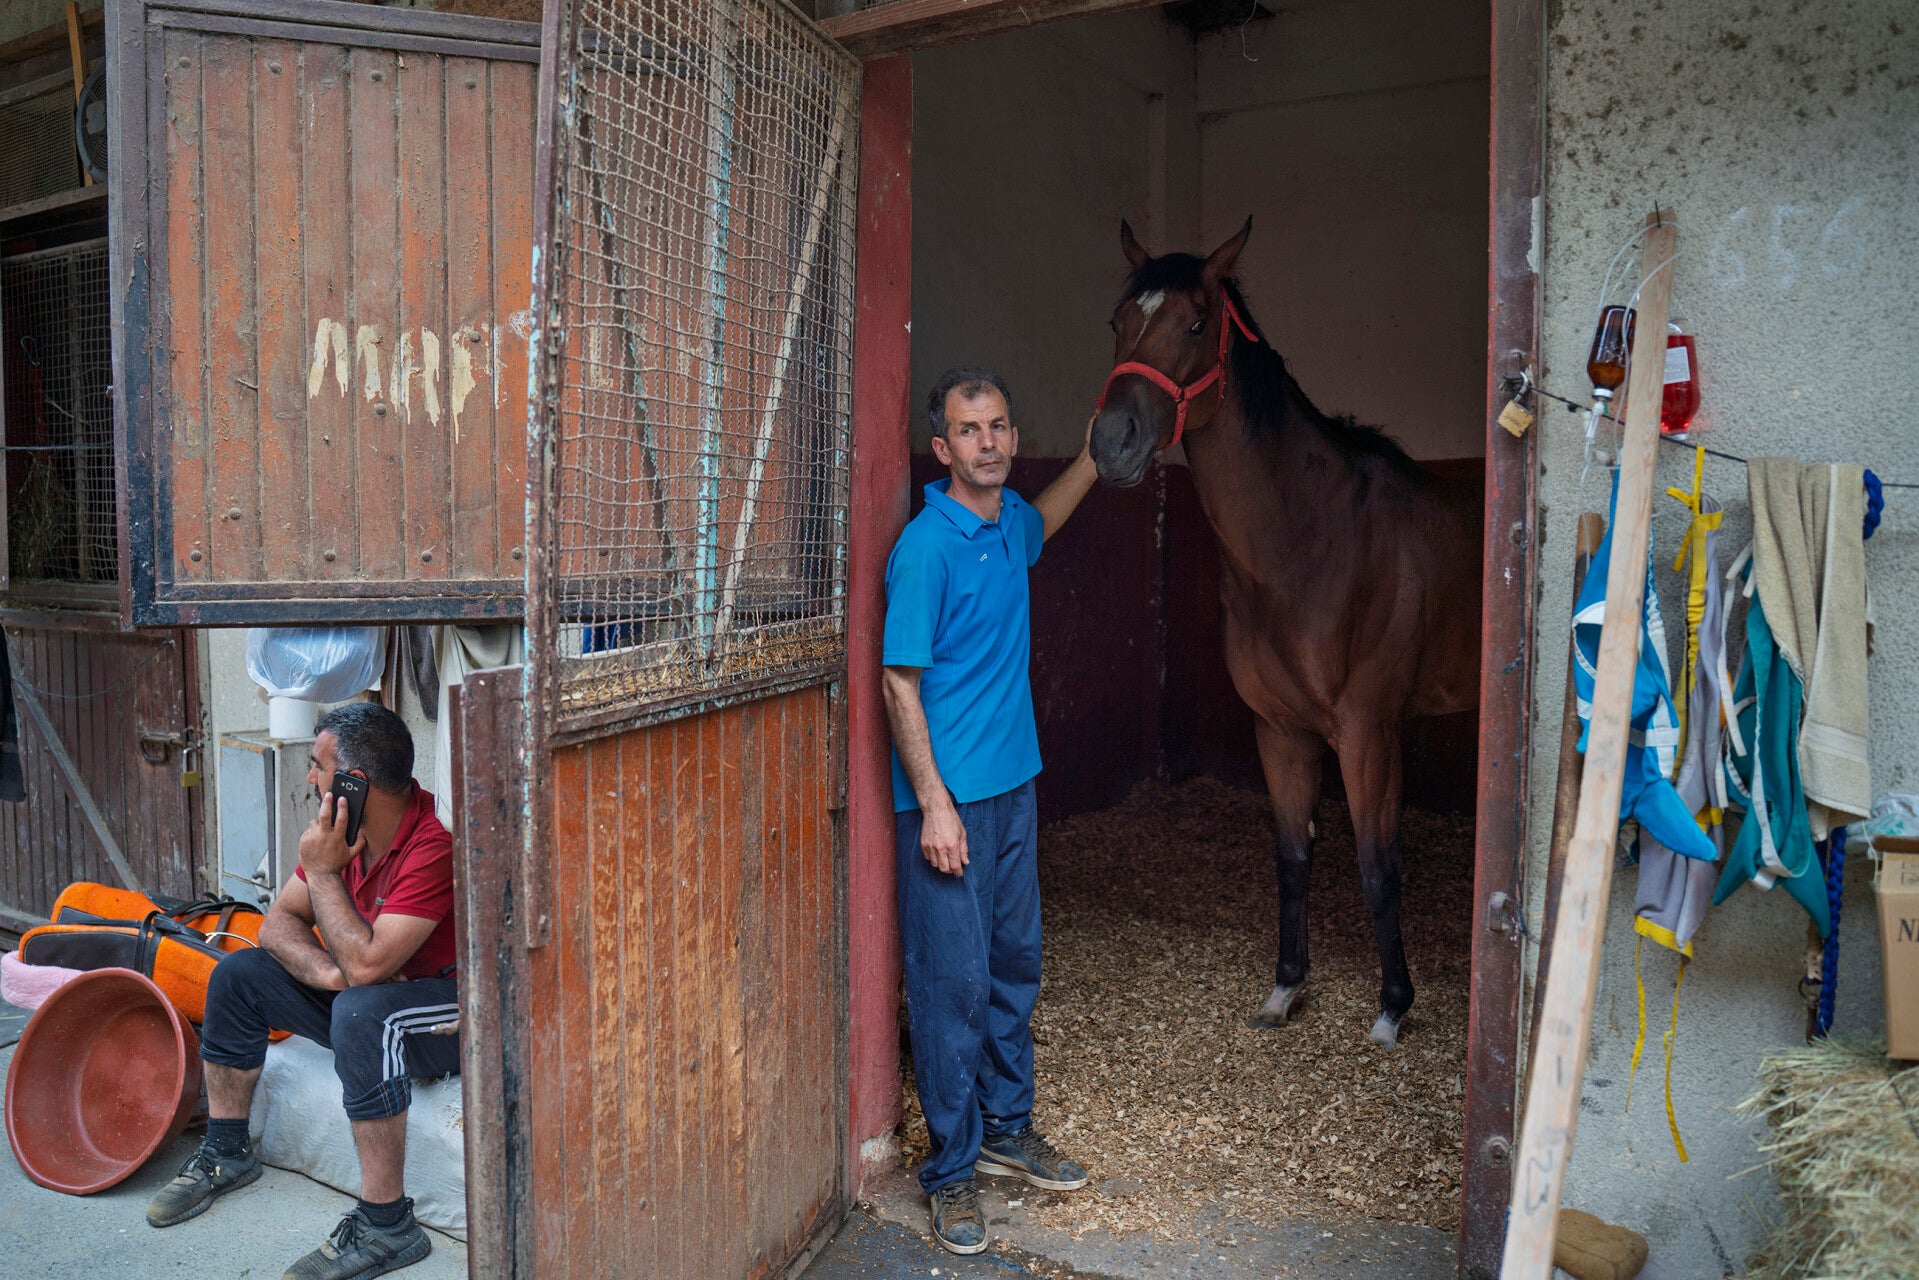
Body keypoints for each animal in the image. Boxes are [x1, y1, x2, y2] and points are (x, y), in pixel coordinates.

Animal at [1089, 218, 1482, 1047]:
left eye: (1195, 323)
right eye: (1116, 321)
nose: (1112, 443)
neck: (1308, 540)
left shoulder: (1367, 732)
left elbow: (1377, 865)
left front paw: (1392, 1006)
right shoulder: (1278, 730)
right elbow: (1292, 856)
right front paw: (1285, 989)